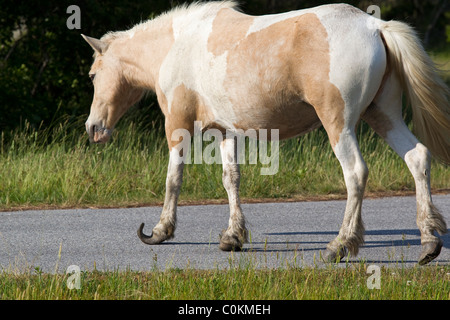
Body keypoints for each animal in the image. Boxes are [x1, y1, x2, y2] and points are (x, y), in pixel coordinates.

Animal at [82, 0, 448, 264]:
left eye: (93, 75)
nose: (93, 128)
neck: (176, 45)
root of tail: (375, 26)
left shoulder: (178, 126)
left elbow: (174, 179)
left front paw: (160, 231)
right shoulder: (226, 132)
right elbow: (231, 179)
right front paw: (233, 236)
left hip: (339, 125)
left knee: (356, 173)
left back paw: (340, 244)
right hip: (383, 115)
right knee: (417, 158)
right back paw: (429, 241)